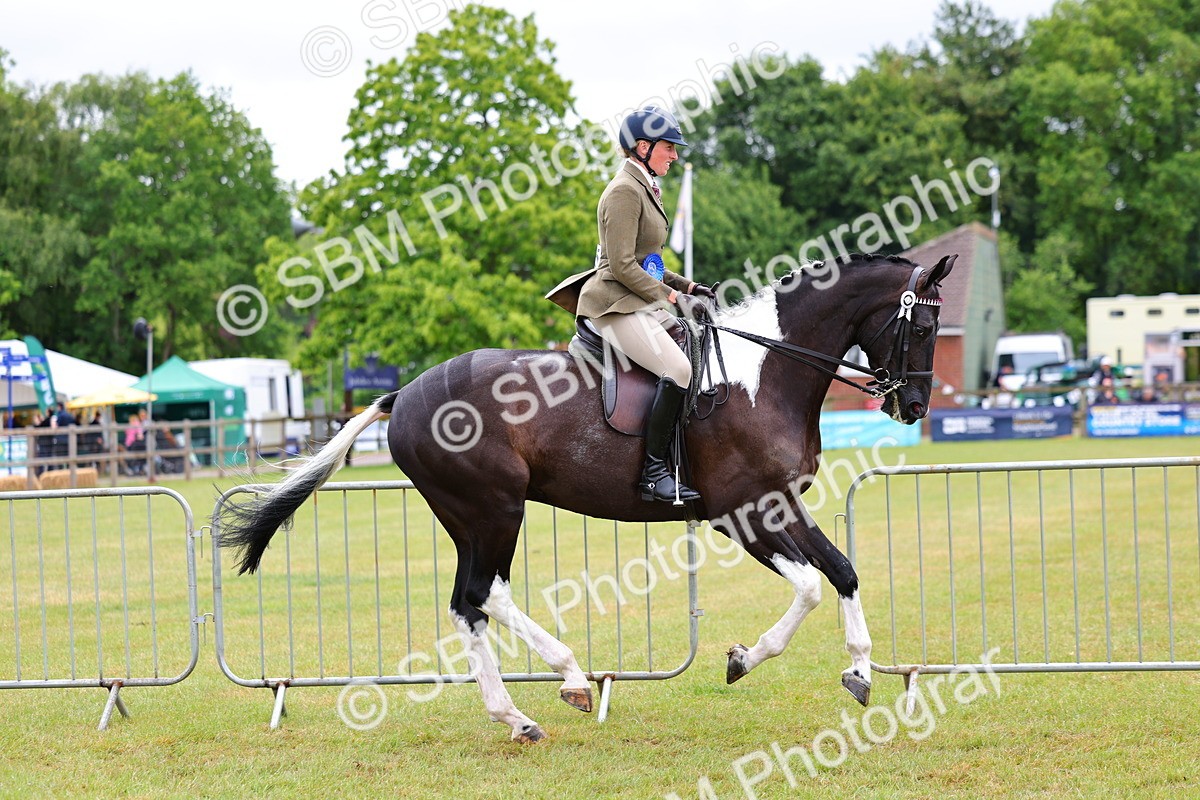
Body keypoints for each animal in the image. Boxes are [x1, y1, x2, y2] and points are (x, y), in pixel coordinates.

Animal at [217, 251, 954, 743]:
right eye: (921, 329)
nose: (915, 405)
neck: (764, 373)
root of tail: (405, 394)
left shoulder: (777, 506)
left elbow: (841, 569)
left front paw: (859, 670)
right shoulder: (740, 514)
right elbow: (808, 585)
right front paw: (745, 658)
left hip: (469, 517)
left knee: (467, 605)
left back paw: (515, 716)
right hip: (495, 509)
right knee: (485, 593)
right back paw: (567, 677)